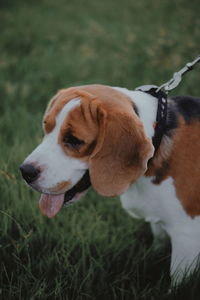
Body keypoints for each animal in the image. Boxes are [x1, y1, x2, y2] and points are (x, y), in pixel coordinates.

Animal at [20, 84, 200, 284]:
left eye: (74, 140)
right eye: (46, 127)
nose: (25, 171)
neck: (158, 136)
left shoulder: (186, 235)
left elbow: (178, 282)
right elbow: (159, 241)